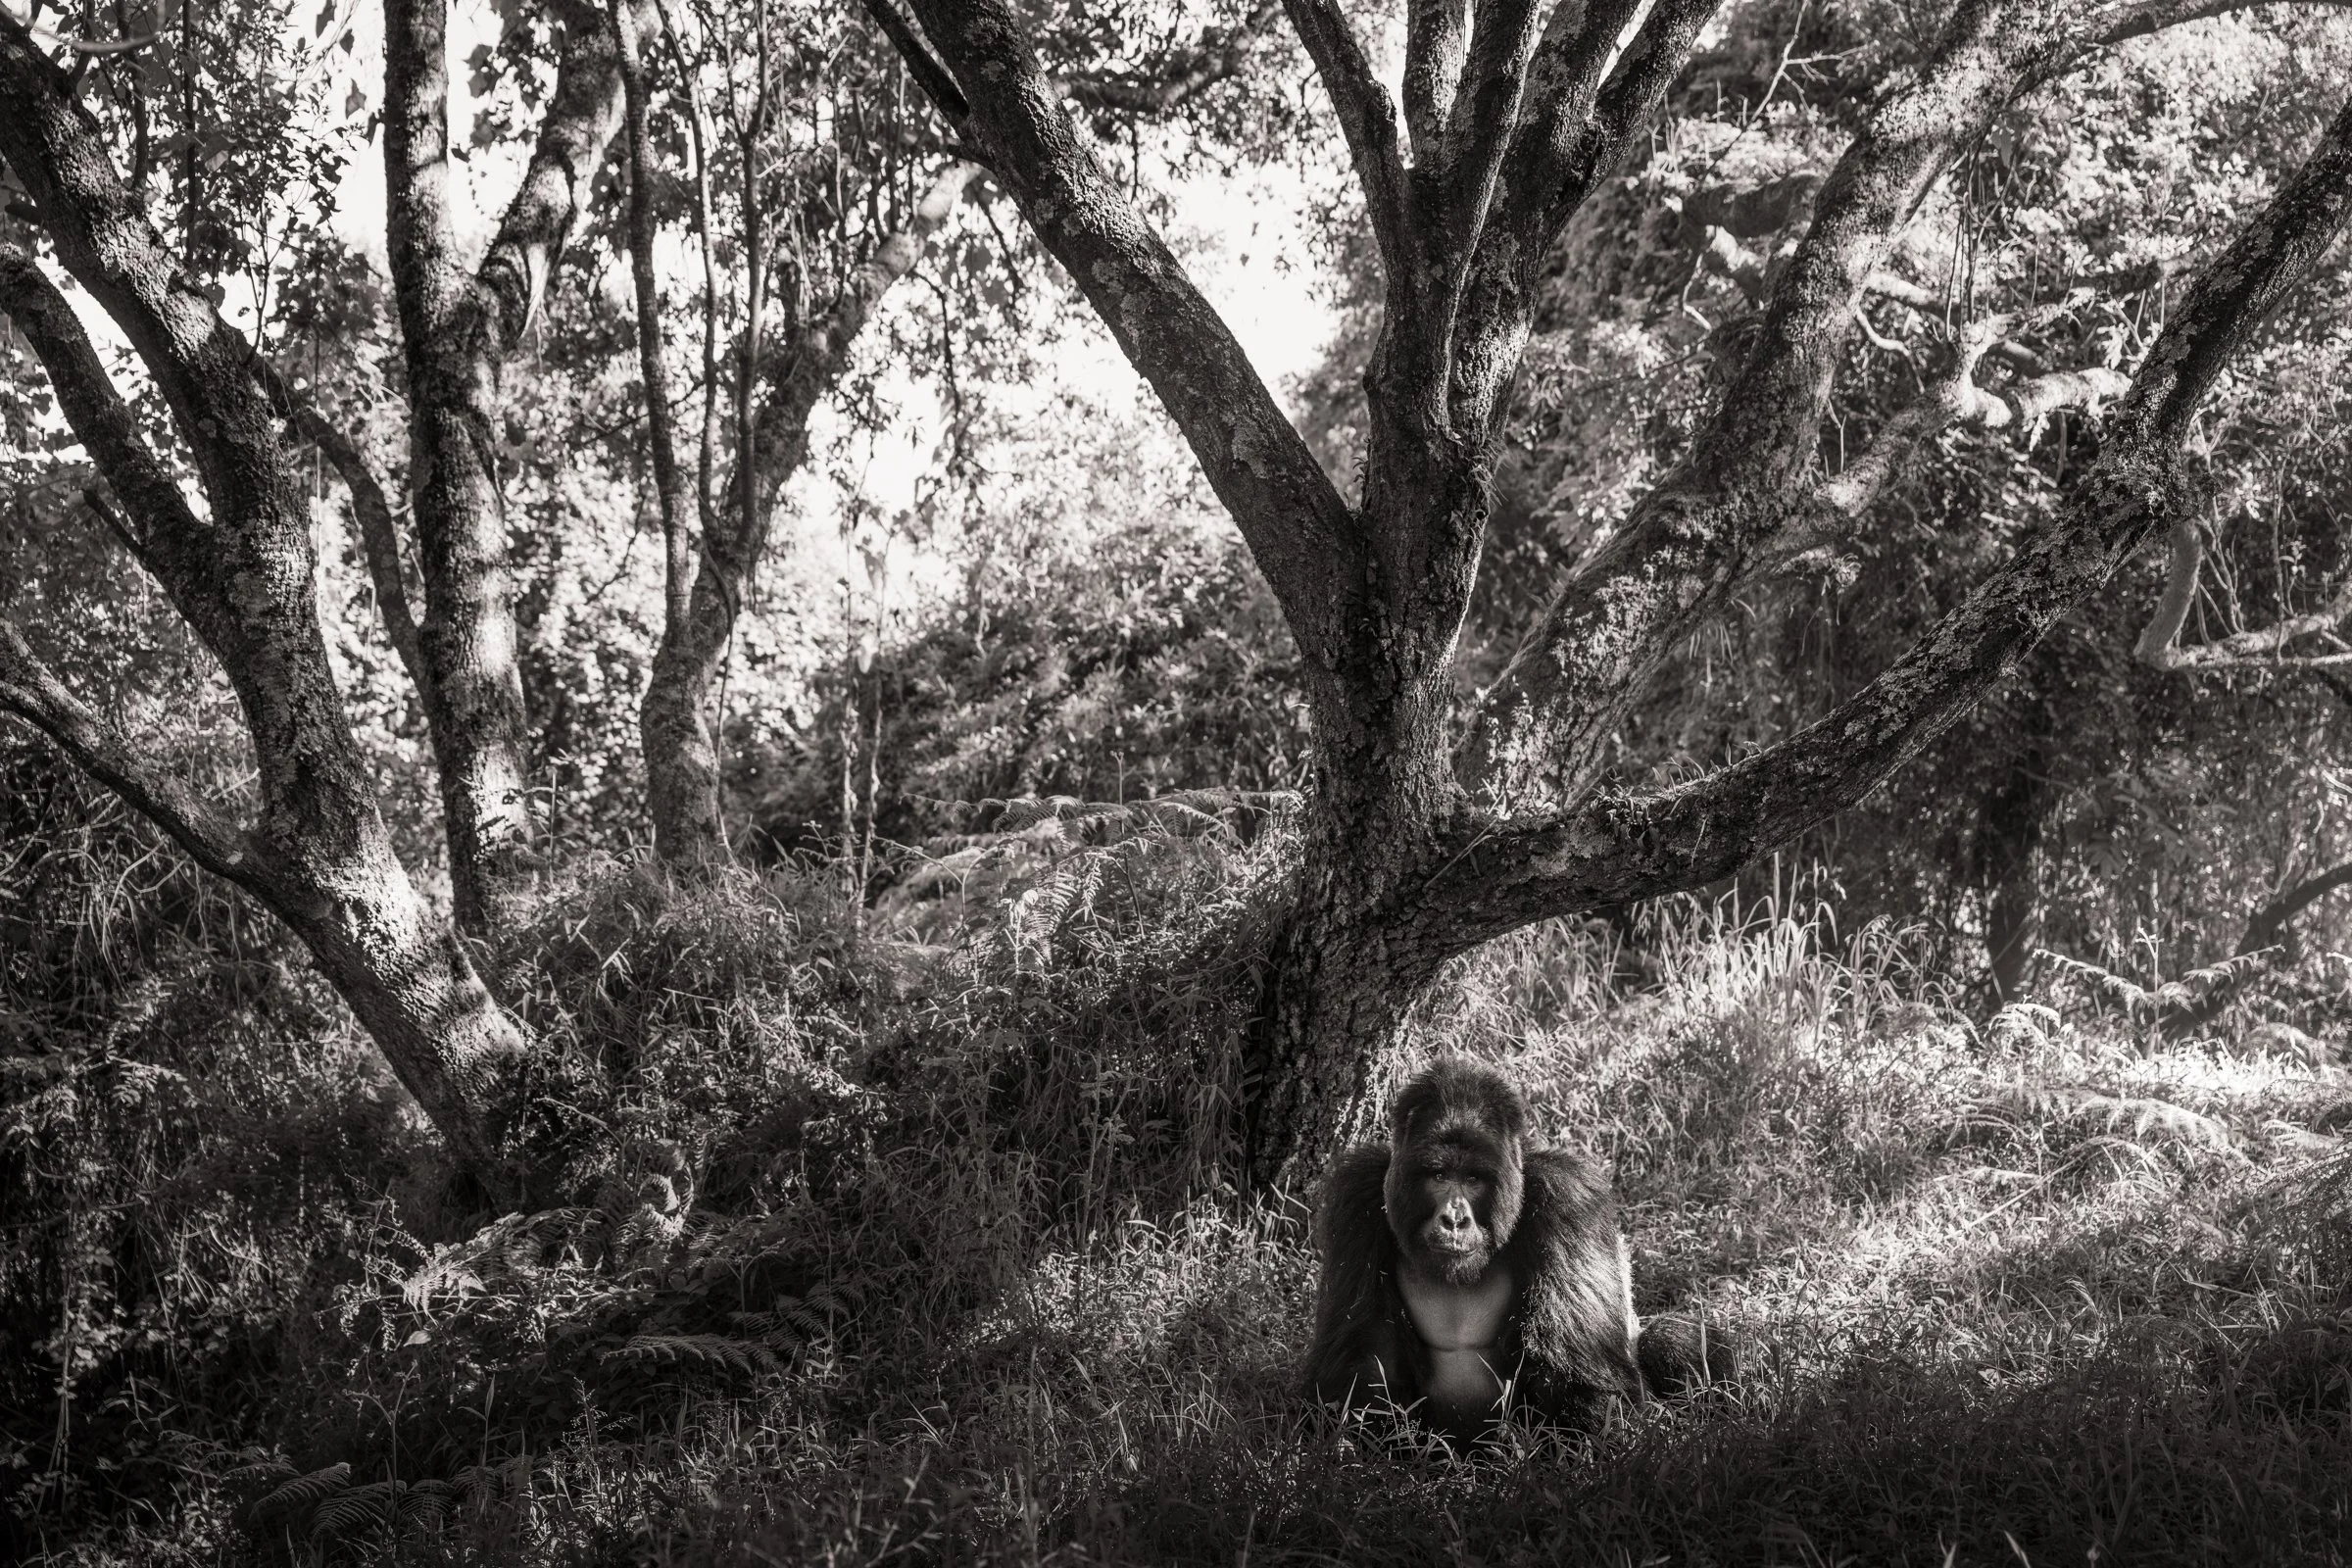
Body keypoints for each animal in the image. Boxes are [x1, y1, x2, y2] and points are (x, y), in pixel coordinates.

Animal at [1301, 1057, 1736, 1444]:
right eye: (1438, 1176)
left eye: (1473, 1179)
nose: (1454, 1221)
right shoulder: (1358, 1191)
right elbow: (1363, 1352)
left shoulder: (1567, 1193)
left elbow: (1578, 1366)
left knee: (1669, 1337)